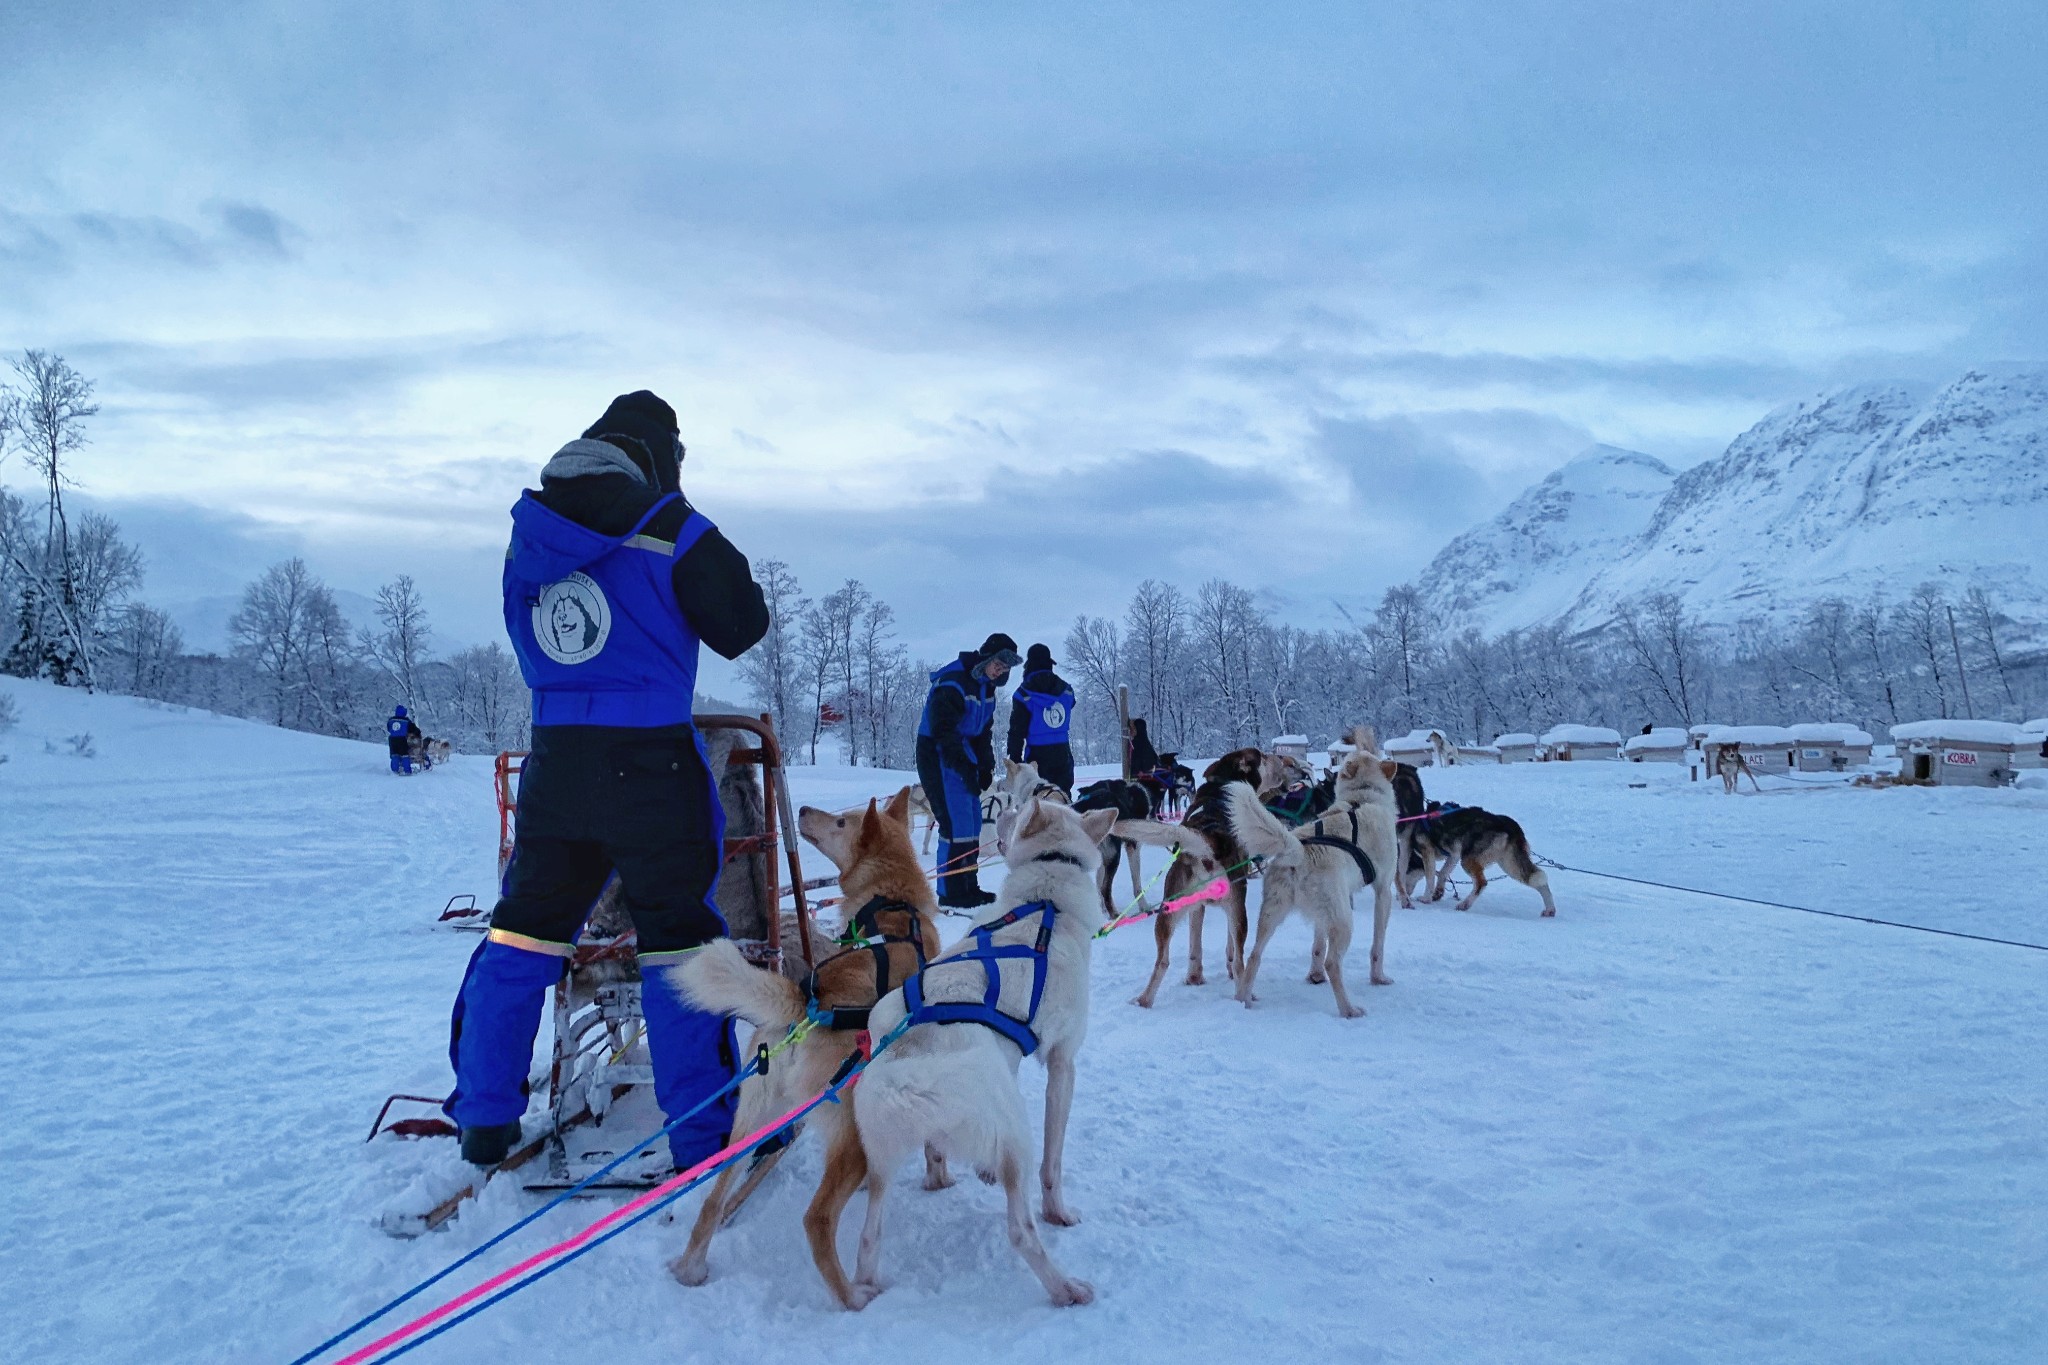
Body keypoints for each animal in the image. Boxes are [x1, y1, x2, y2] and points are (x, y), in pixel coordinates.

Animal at [667, 789, 937, 1293]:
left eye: (841, 821)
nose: (805, 809)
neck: (891, 902)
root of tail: (804, 1007)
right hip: (846, 1134)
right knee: (817, 1219)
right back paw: (854, 1297)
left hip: (753, 1122)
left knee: (714, 1201)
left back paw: (691, 1268)